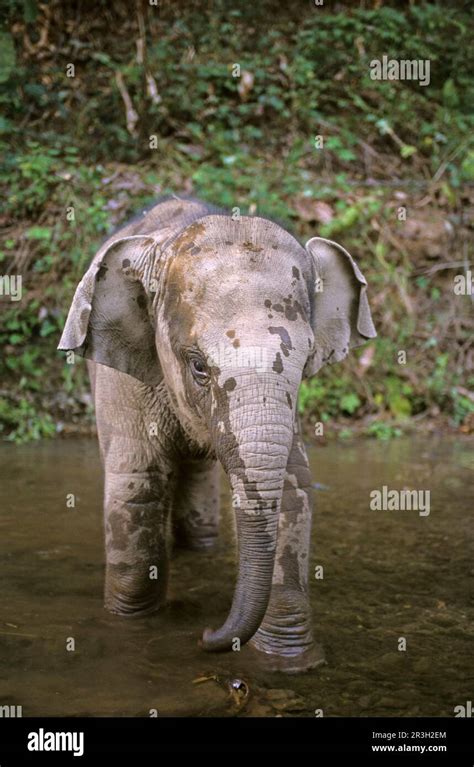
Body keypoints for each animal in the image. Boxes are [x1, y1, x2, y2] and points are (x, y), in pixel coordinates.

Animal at [59, 196, 376, 672]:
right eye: (198, 366)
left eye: (305, 364)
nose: (207, 634)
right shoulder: (124, 379)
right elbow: (138, 486)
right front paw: (130, 623)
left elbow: (293, 487)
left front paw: (288, 662)